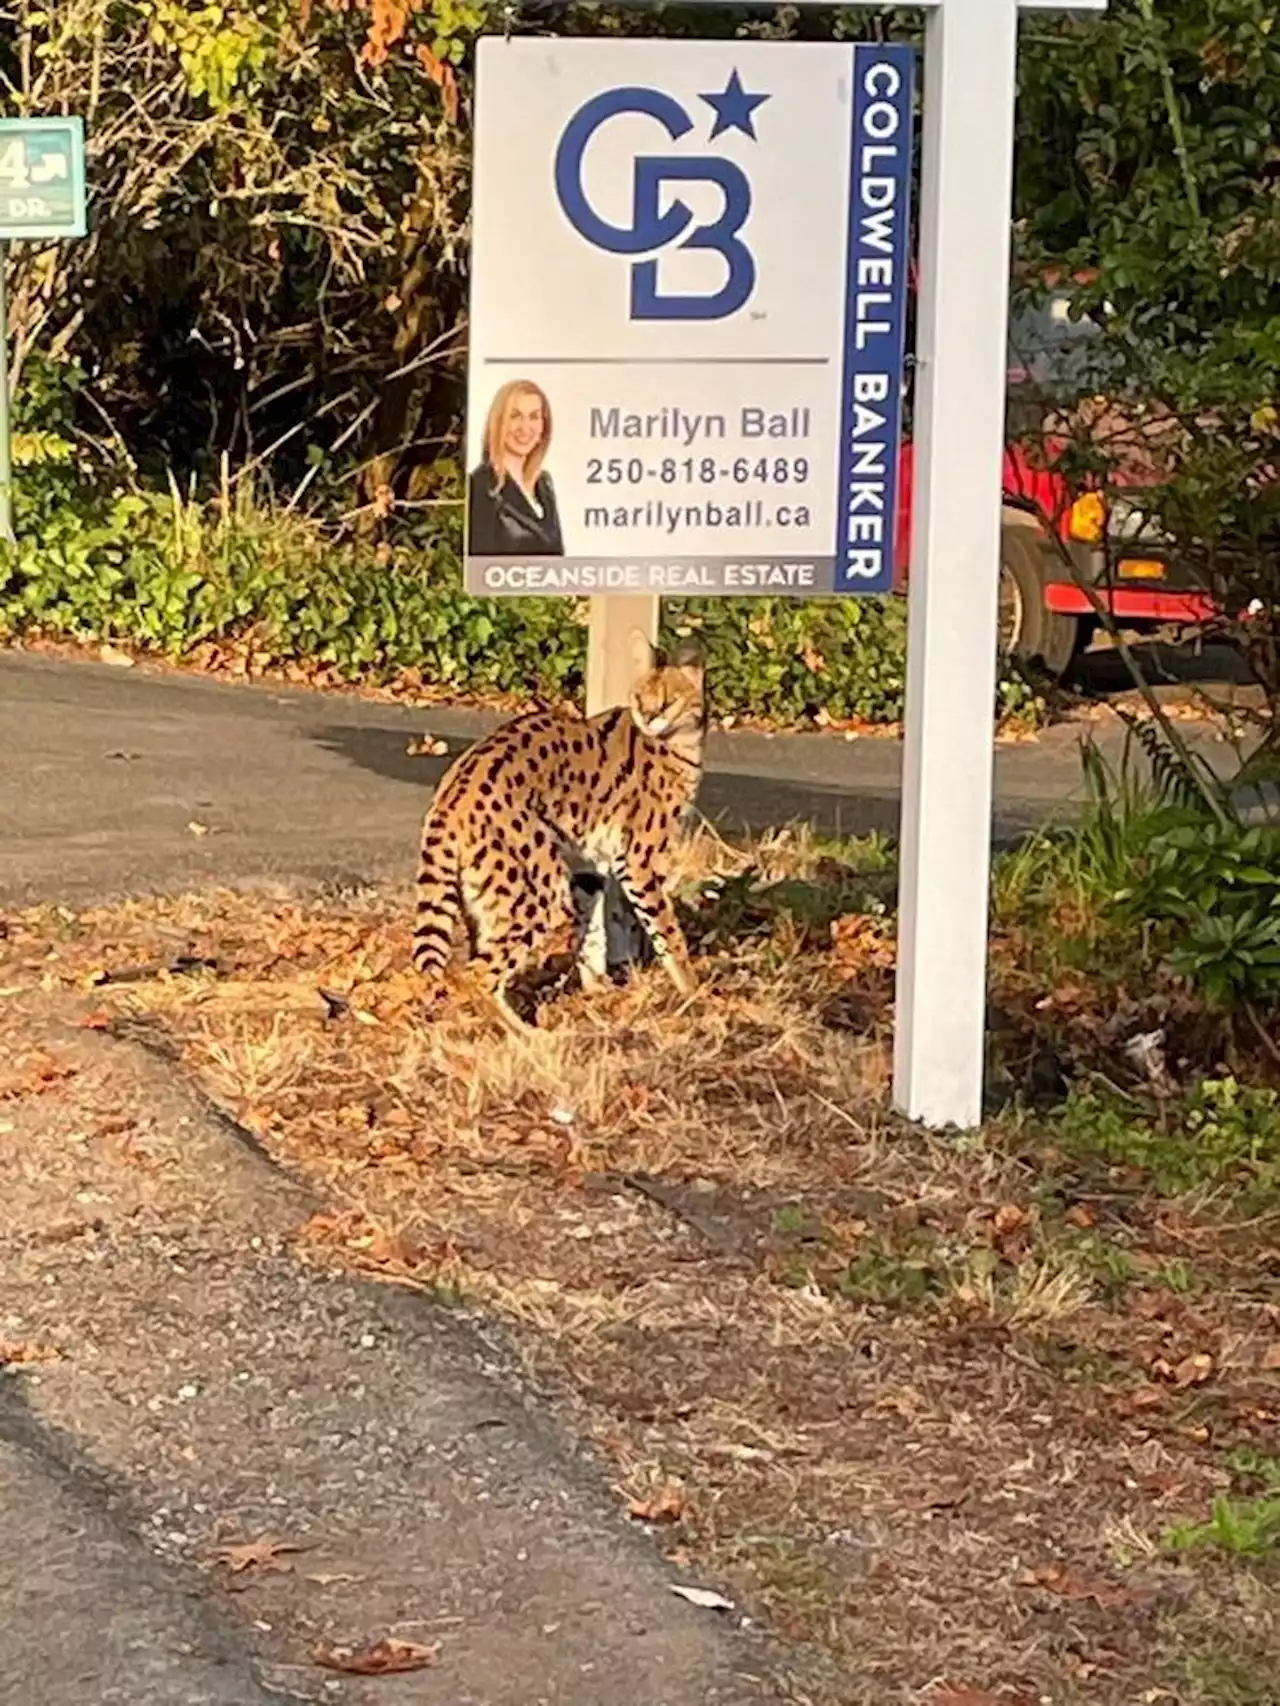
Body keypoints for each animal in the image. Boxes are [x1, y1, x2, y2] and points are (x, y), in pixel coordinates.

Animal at [413, 638, 706, 1009]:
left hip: (486, 893)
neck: (680, 741)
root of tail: (452, 792)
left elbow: (589, 931)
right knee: (476, 976)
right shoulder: (639, 861)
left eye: (667, 700)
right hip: (536, 890)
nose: (649, 717)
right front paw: (692, 989)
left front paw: (595, 986)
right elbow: (667, 930)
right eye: (640, 698)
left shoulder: (590, 863)